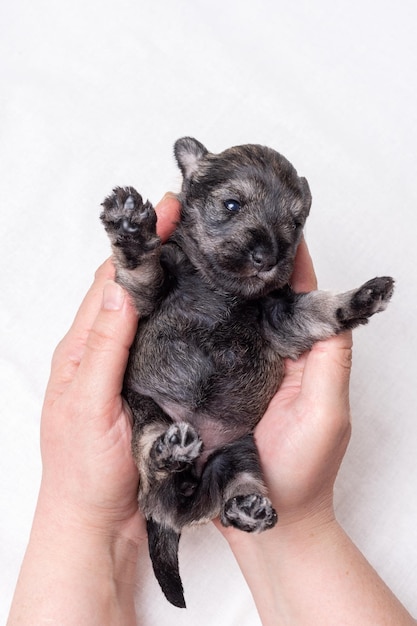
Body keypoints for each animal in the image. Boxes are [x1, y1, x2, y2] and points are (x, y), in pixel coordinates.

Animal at [101, 136, 394, 604]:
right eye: (232, 204)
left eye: (295, 224)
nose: (266, 256)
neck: (224, 290)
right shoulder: (148, 295)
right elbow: (142, 270)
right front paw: (130, 228)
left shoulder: (283, 317)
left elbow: (320, 309)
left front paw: (364, 297)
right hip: (148, 418)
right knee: (154, 474)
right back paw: (170, 453)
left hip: (239, 454)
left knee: (209, 498)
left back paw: (246, 508)